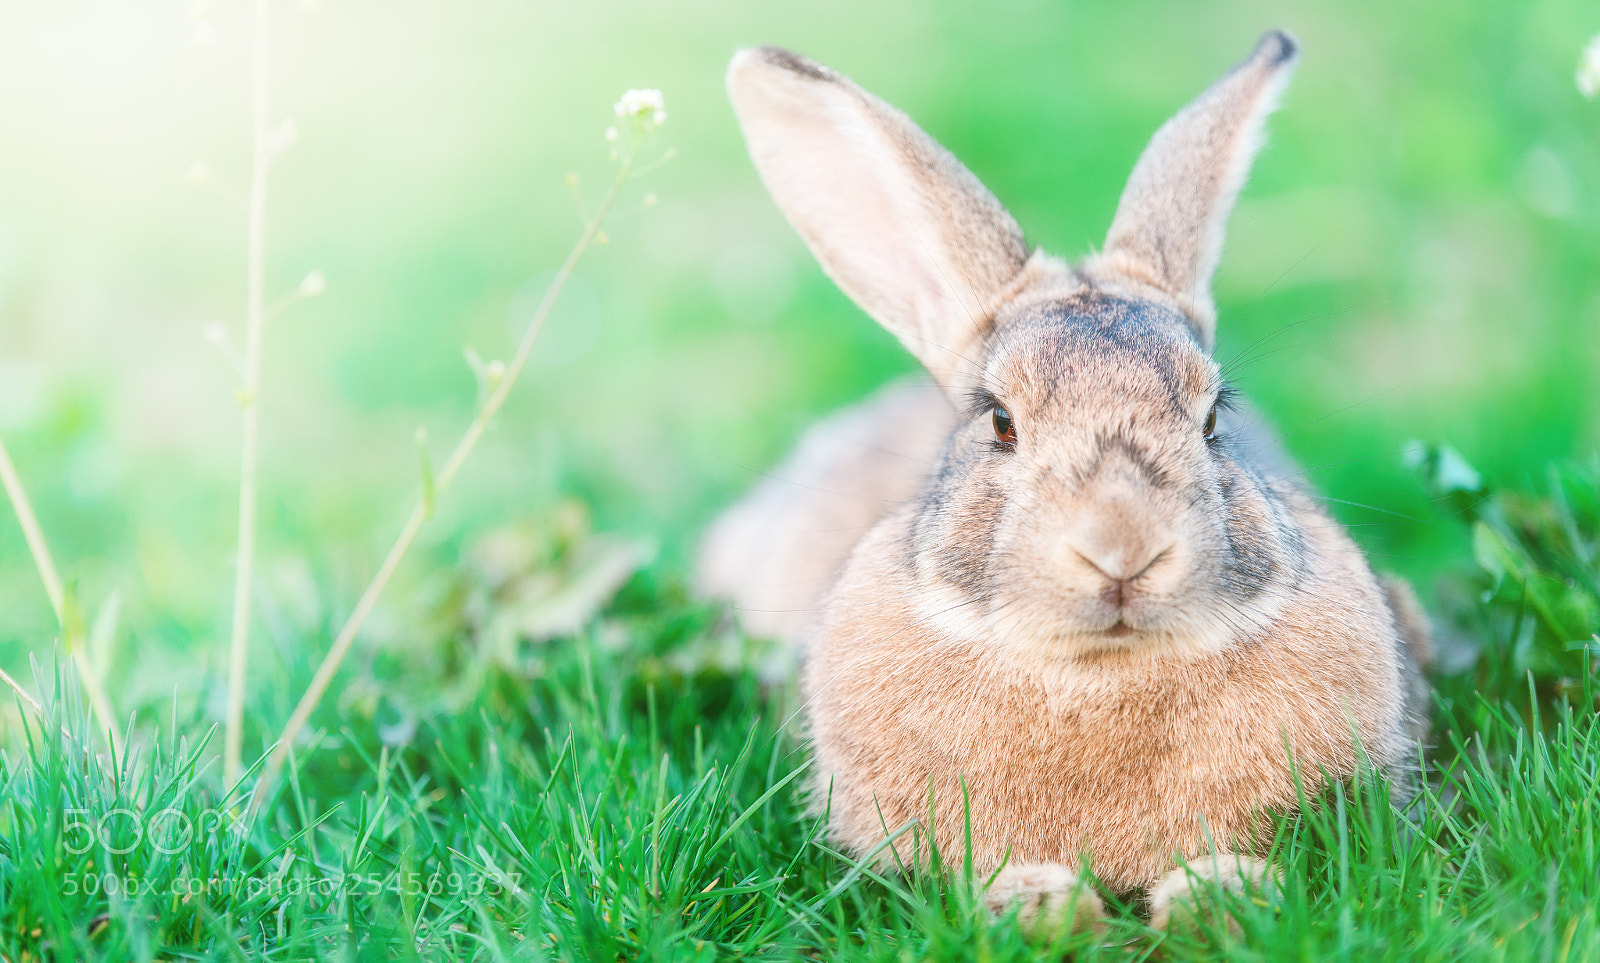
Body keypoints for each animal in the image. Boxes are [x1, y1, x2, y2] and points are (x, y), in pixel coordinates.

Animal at [703, 32, 1433, 930]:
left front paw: (1219, 898)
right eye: (1000, 422)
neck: (1098, 673)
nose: (1122, 549)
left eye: (1213, 418)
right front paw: (1036, 902)